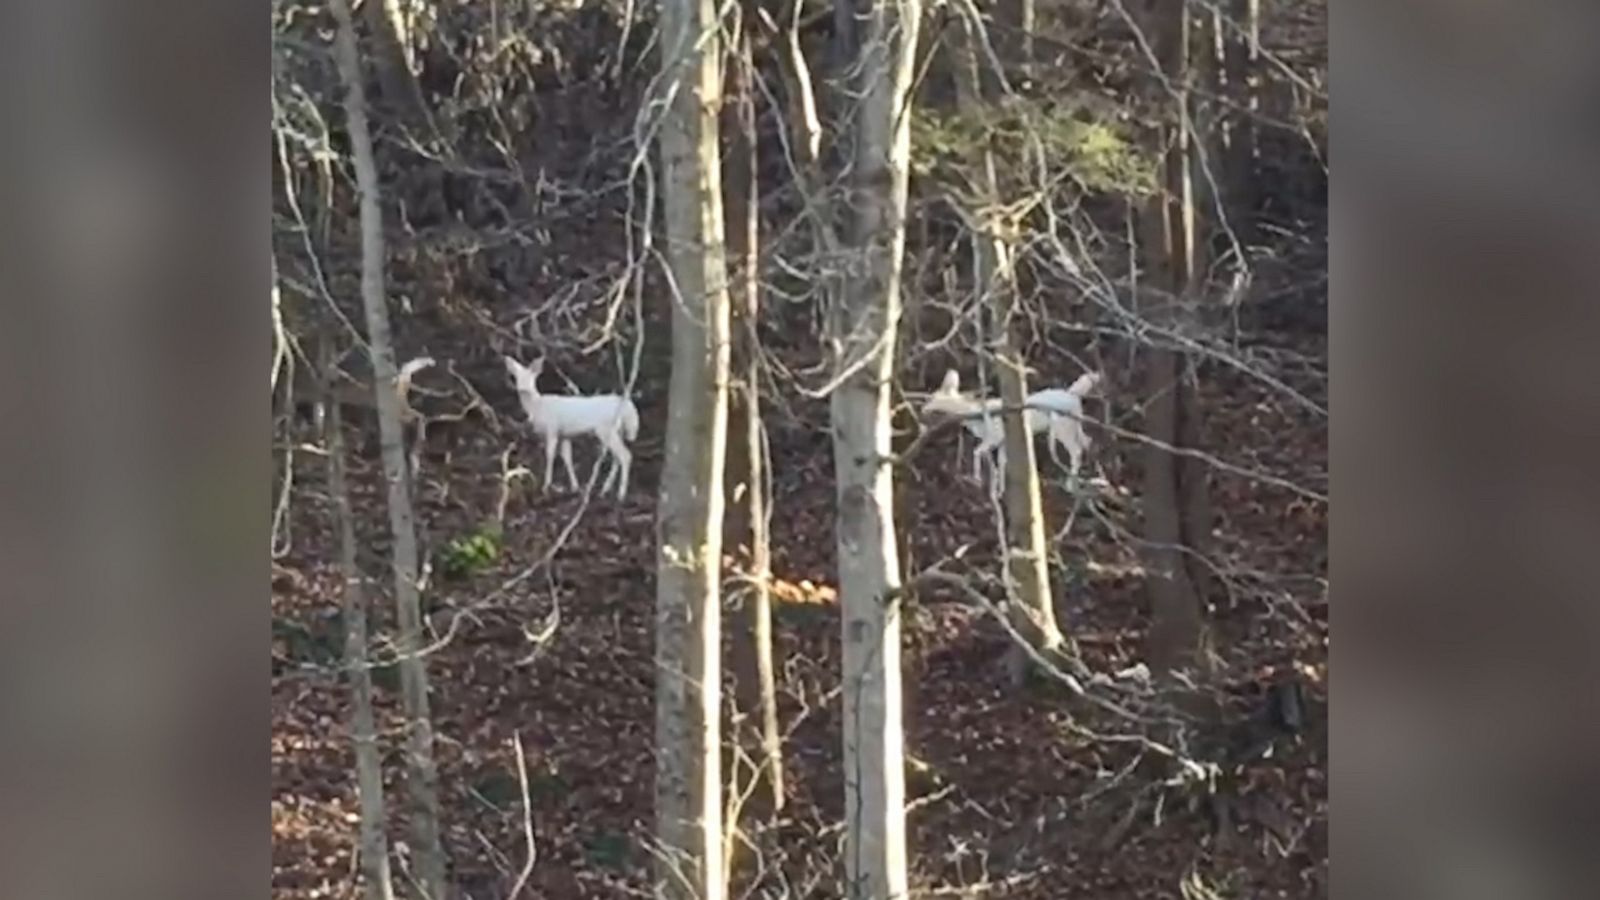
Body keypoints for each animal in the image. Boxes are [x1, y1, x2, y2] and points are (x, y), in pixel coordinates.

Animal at [503, 356, 640, 499]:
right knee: (617, 457)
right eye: (516, 377)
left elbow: (550, 455)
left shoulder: (552, 429)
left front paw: (546, 487)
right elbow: (567, 457)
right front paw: (575, 487)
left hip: (606, 429)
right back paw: (605, 490)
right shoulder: (564, 435)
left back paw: (621, 494)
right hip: (617, 431)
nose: (523, 389)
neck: (537, 407)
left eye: (532, 377)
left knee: (625, 455)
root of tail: (629, 409)